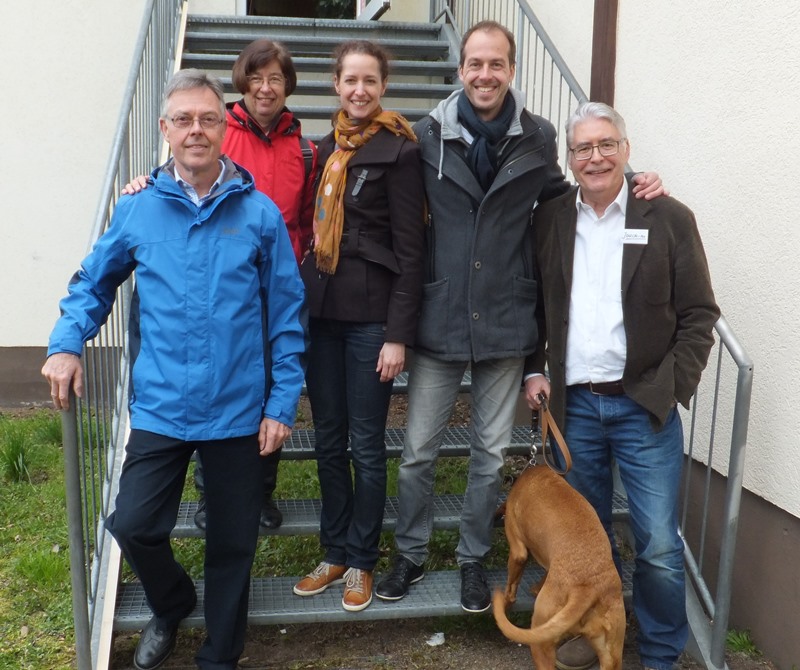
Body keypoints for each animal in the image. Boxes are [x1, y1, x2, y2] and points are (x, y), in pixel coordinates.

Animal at [494, 468, 624, 670]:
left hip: (541, 642)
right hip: (612, 656)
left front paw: (508, 600)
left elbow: (511, 585)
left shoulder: (517, 550)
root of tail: (587, 588)